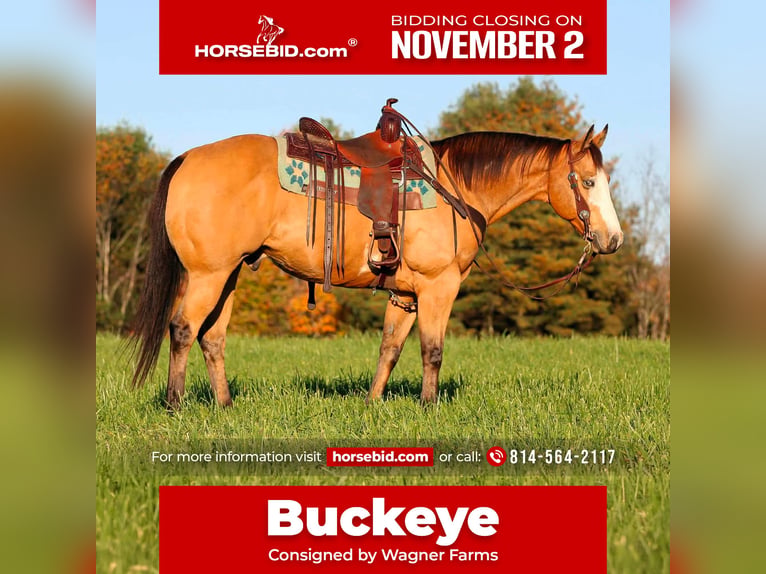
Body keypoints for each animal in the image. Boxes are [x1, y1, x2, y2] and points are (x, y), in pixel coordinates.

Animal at [129, 123, 622, 409]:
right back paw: (174, 404)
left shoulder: (404, 295)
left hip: (228, 275)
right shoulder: (437, 288)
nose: (612, 239)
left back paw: (226, 405)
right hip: (208, 275)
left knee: (212, 338)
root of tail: (187, 158)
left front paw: (372, 404)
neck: (455, 187)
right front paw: (428, 407)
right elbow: (432, 350)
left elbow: (390, 348)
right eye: (588, 182)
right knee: (183, 330)